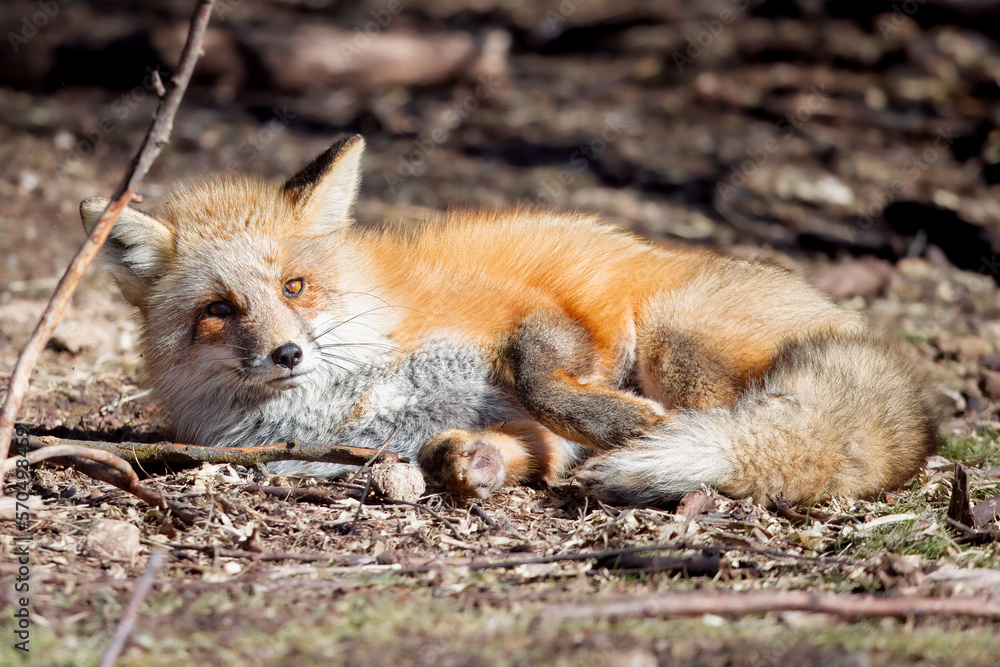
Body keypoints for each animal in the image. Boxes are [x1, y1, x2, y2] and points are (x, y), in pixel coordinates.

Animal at [79, 135, 940, 506]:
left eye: (295, 286)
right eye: (219, 310)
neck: (354, 392)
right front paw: (468, 465)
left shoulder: (532, 313)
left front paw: (621, 424)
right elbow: (496, 448)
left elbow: (539, 372)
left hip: (676, 343)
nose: (287, 353)